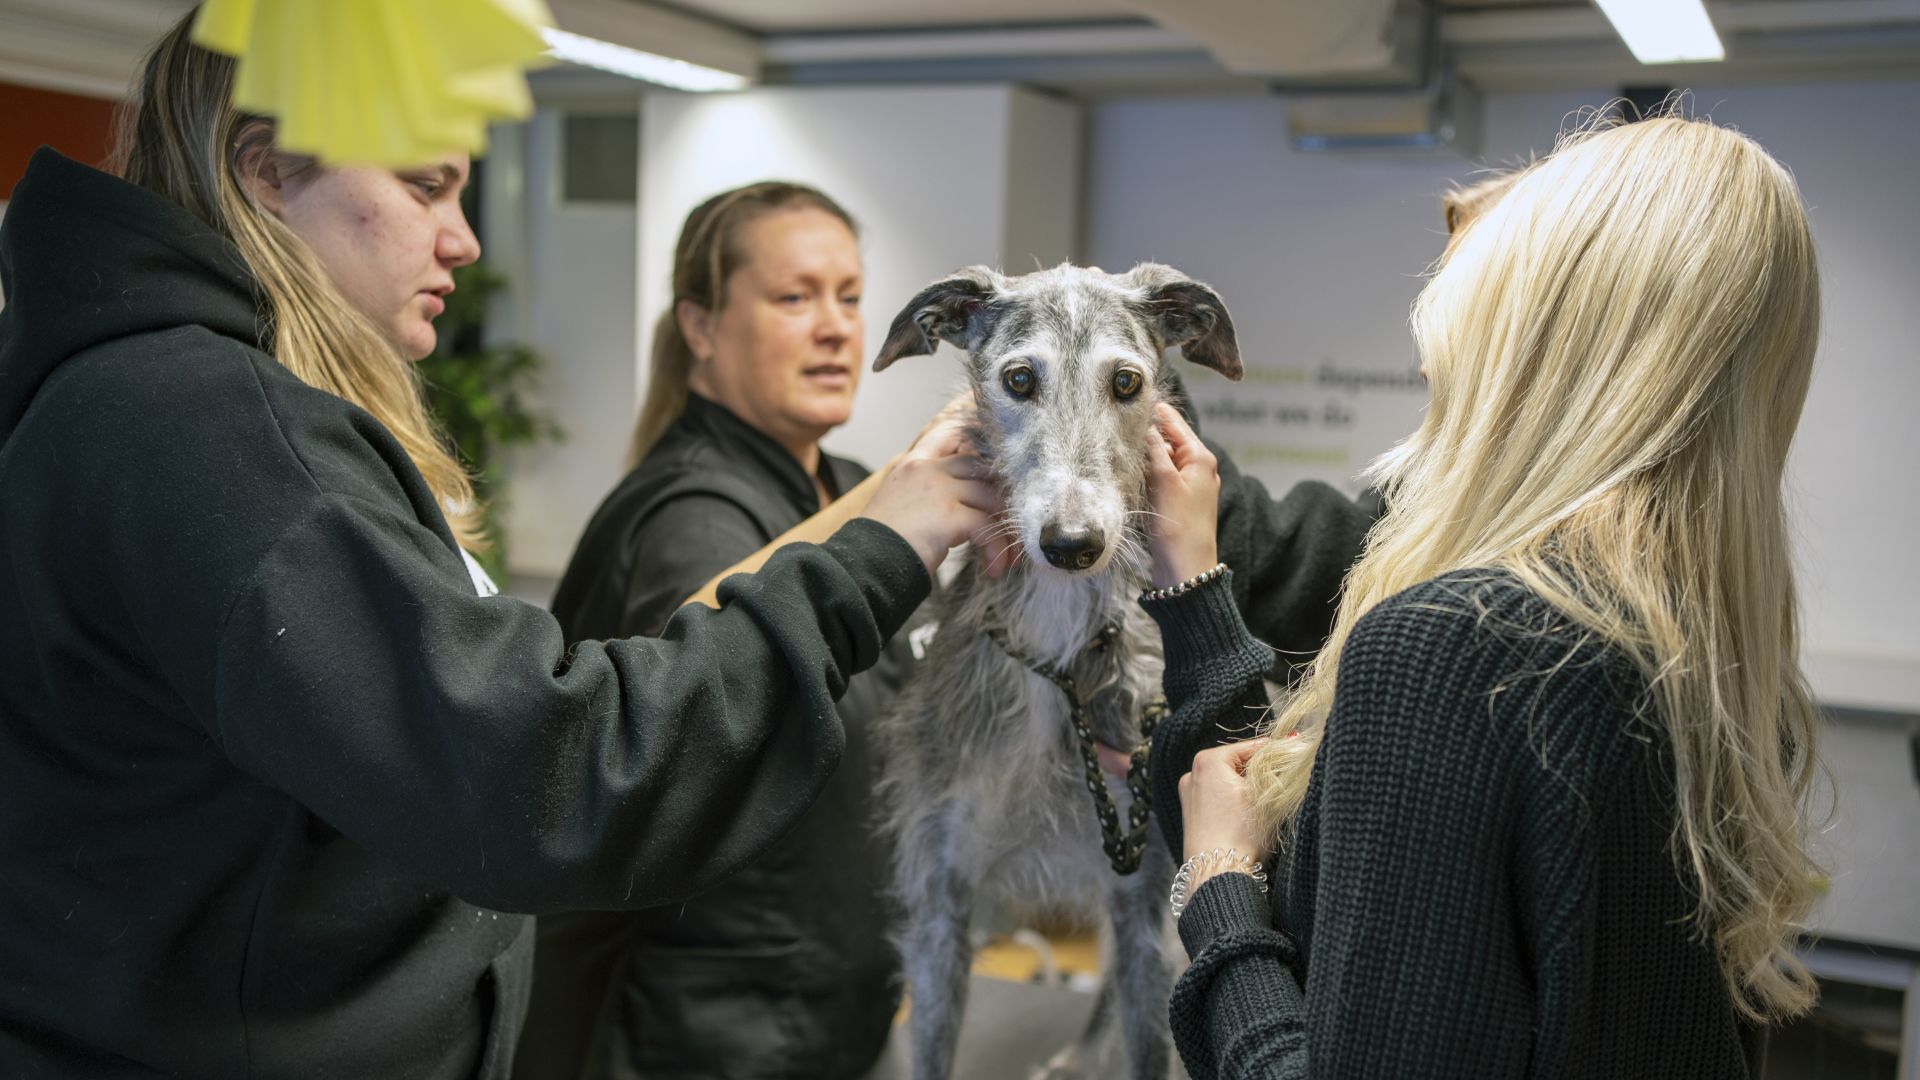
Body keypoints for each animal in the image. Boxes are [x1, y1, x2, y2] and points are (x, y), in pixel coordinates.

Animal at [871, 263, 1244, 1076]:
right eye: (1019, 378)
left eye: (1128, 382)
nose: (1072, 543)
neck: (1058, 653)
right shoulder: (941, 898)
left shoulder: (1144, 900)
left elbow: (1151, 1042)